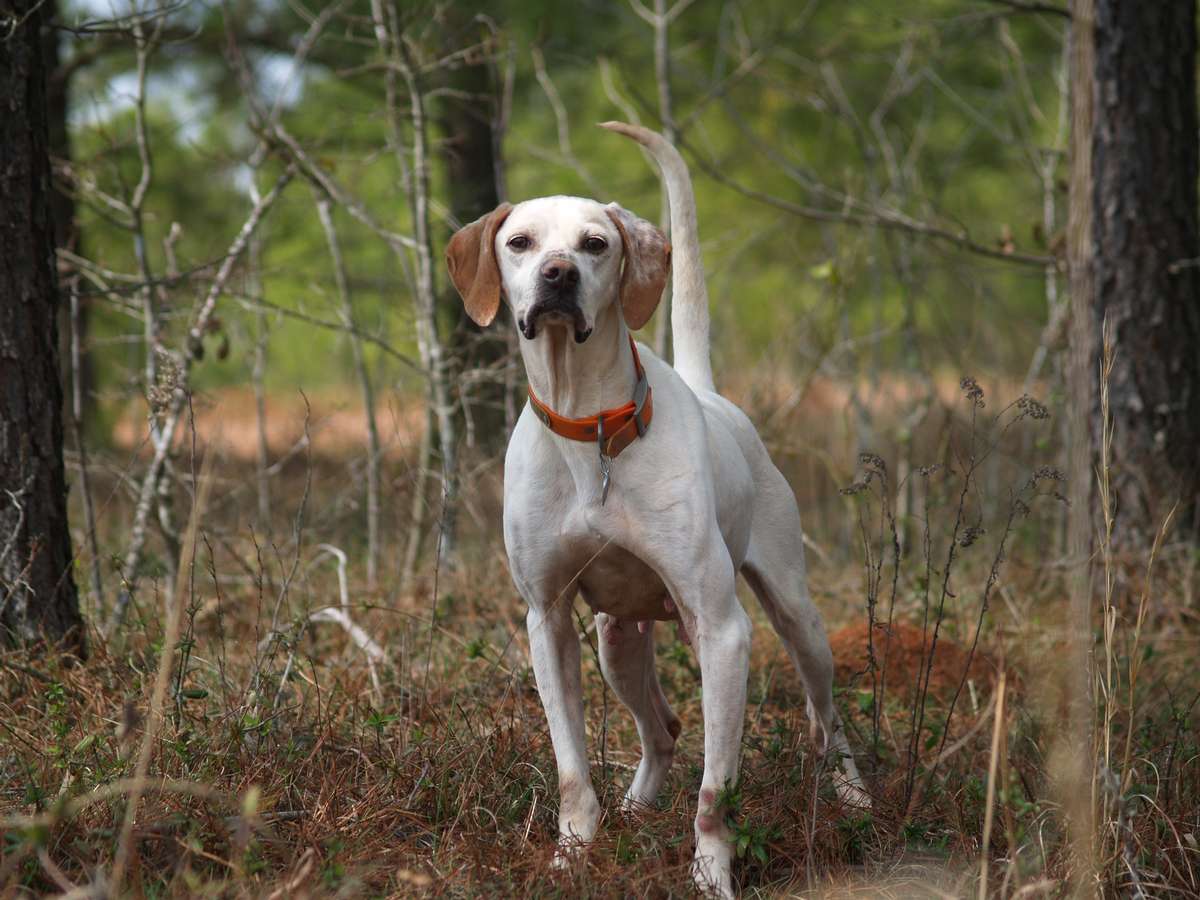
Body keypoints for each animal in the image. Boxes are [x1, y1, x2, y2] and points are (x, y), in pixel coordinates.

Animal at [446, 123, 868, 897]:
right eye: (519, 242)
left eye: (595, 244)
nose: (557, 276)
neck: (591, 431)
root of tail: (714, 396)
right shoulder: (547, 621)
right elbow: (572, 771)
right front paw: (572, 855)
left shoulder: (722, 632)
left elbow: (714, 793)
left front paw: (711, 873)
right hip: (615, 642)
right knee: (663, 728)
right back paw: (639, 805)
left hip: (799, 621)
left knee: (827, 718)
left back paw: (854, 796)